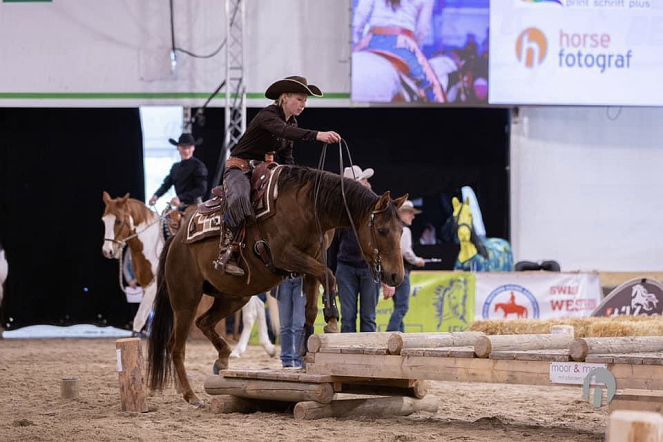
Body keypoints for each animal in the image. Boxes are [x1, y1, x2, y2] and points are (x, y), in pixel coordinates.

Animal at [147, 167, 404, 408]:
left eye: (402, 230)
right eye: (381, 230)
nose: (397, 276)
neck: (309, 206)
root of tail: (176, 240)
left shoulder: (312, 262)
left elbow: (313, 303)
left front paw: (306, 349)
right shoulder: (285, 255)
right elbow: (331, 277)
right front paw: (331, 320)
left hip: (234, 296)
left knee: (203, 322)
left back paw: (222, 358)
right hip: (185, 301)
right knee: (176, 346)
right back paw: (191, 395)